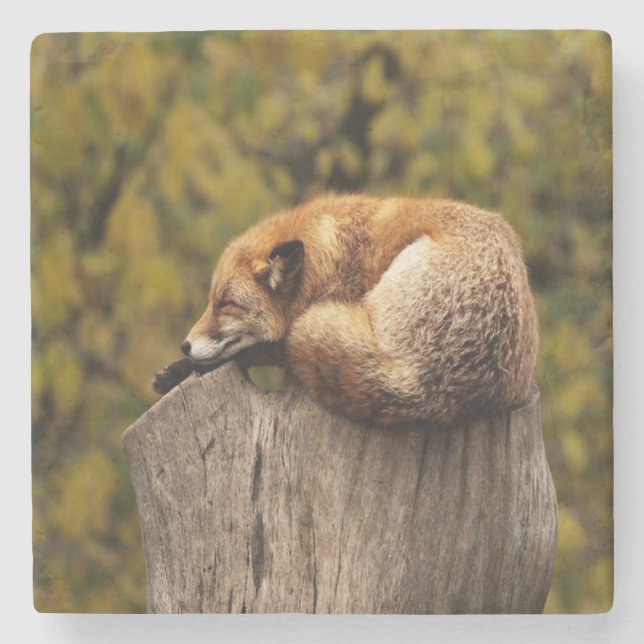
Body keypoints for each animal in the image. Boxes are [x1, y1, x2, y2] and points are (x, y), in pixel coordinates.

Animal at [152, 192, 539, 428]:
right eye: (210, 301)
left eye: (226, 304)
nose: (185, 344)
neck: (330, 259)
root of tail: (426, 387)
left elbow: (255, 351)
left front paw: (184, 369)